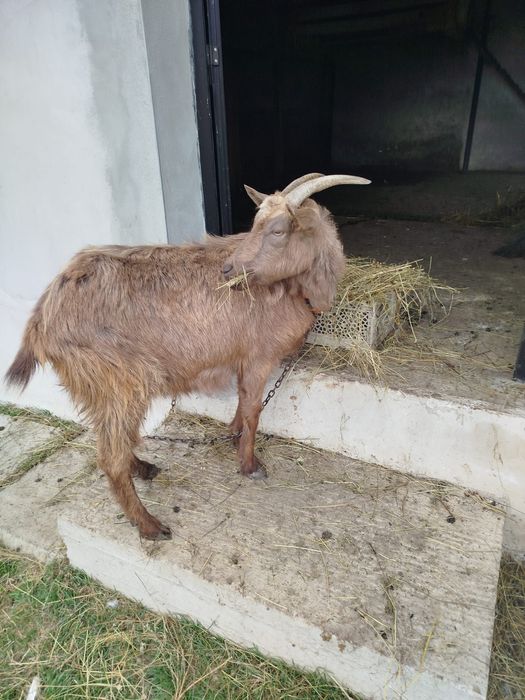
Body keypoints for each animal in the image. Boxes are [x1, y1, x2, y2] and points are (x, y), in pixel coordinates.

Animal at [5, 173, 370, 540]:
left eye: (278, 230)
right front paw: (249, 465)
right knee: (110, 457)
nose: (228, 269)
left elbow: (242, 402)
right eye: (257, 223)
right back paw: (150, 525)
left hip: (92, 387)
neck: (297, 290)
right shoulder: (259, 356)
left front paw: (233, 436)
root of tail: (43, 316)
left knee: (110, 439)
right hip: (121, 383)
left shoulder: (241, 357)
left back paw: (143, 468)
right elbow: (254, 410)